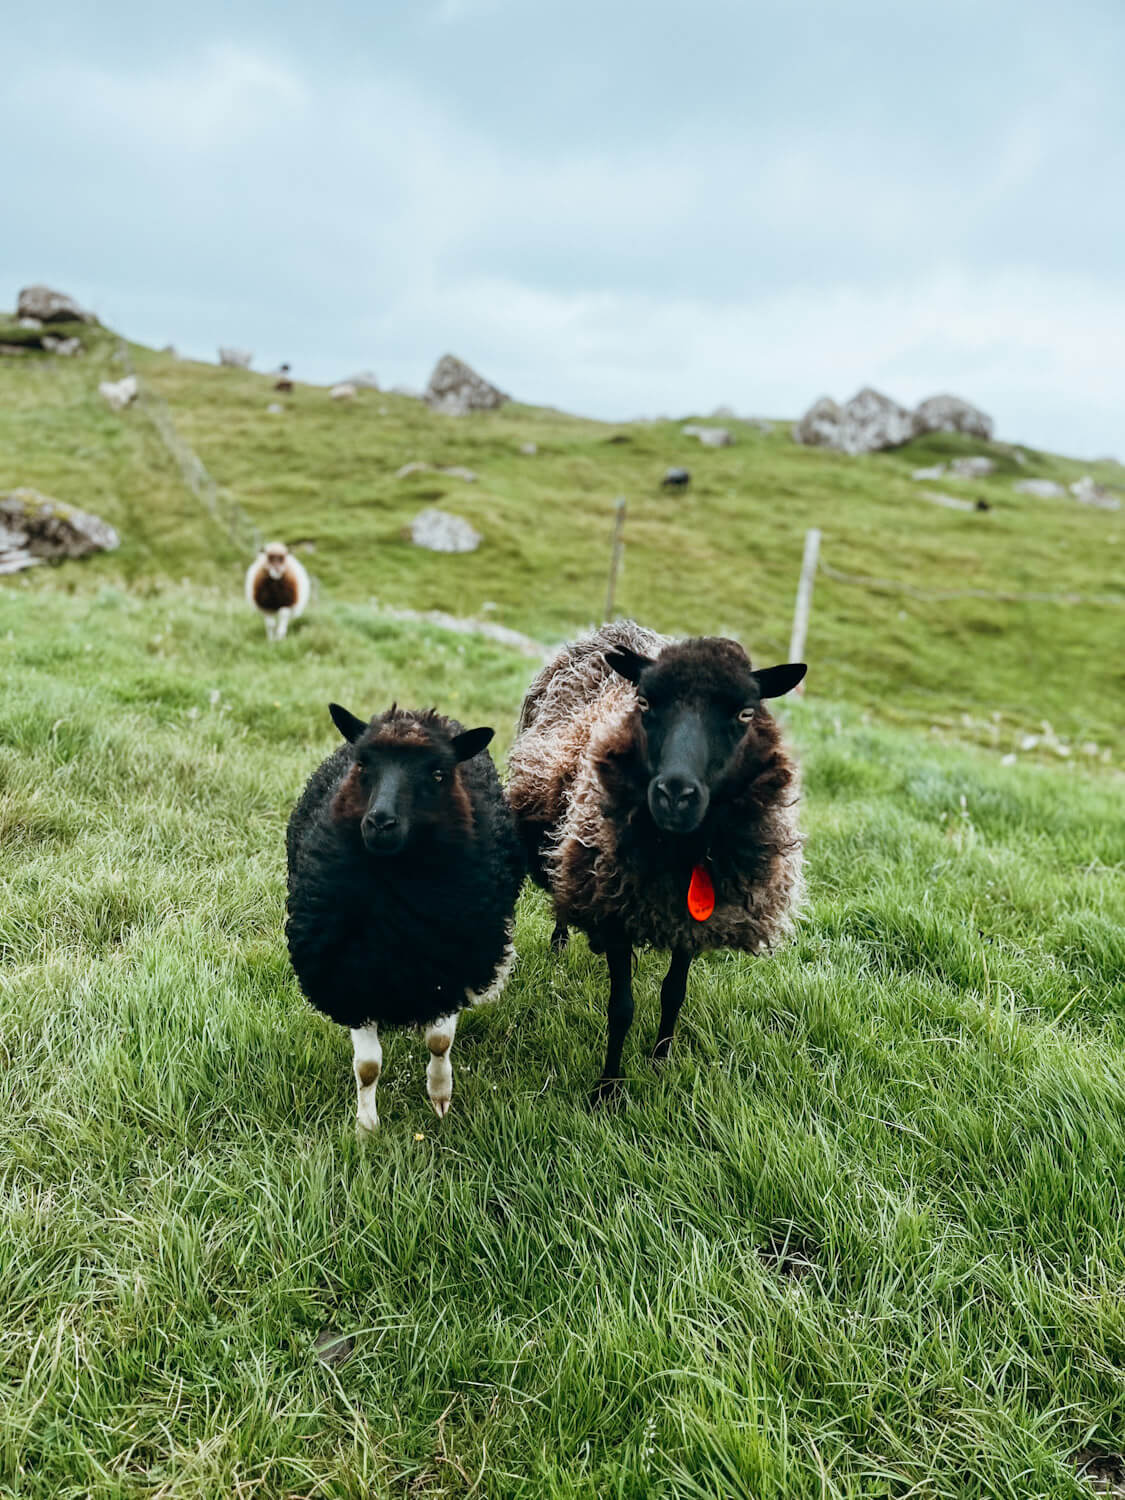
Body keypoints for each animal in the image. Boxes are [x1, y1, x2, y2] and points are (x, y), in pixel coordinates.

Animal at [286, 703, 524, 1131]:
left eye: (438, 773)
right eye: (363, 764)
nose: (380, 822)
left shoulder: (449, 968)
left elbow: (439, 1042)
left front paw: (440, 1097)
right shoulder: (350, 974)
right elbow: (367, 1066)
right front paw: (366, 1128)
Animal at [507, 620, 806, 1103]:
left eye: (745, 713)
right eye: (644, 702)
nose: (675, 794)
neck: (681, 855)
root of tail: (620, 627)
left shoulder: (693, 921)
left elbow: (674, 993)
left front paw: (660, 1061)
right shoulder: (613, 908)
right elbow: (622, 1008)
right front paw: (608, 1090)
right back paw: (559, 941)